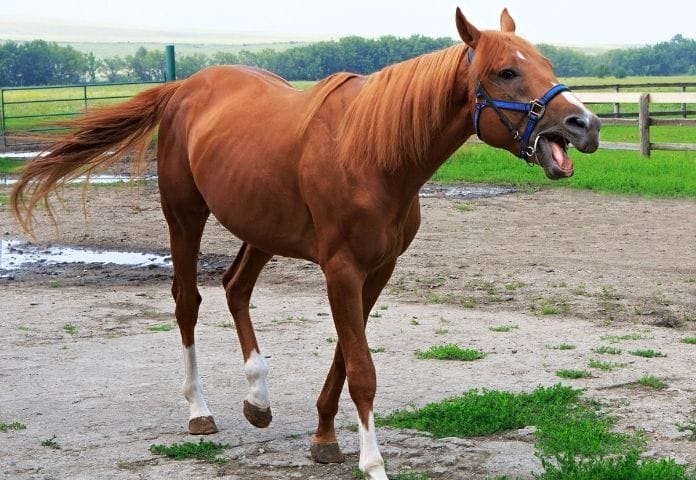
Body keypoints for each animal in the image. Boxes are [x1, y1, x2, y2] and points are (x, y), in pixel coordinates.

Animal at [10, 8, 600, 480]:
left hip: (261, 229)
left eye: (545, 64)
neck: (373, 152)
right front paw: (372, 463)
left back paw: (257, 398)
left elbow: (346, 354)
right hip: (184, 217)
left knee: (235, 287)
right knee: (187, 302)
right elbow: (362, 370)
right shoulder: (341, 270)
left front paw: (324, 439)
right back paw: (200, 410)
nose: (585, 124)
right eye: (507, 71)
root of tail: (184, 89)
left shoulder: (375, 271)